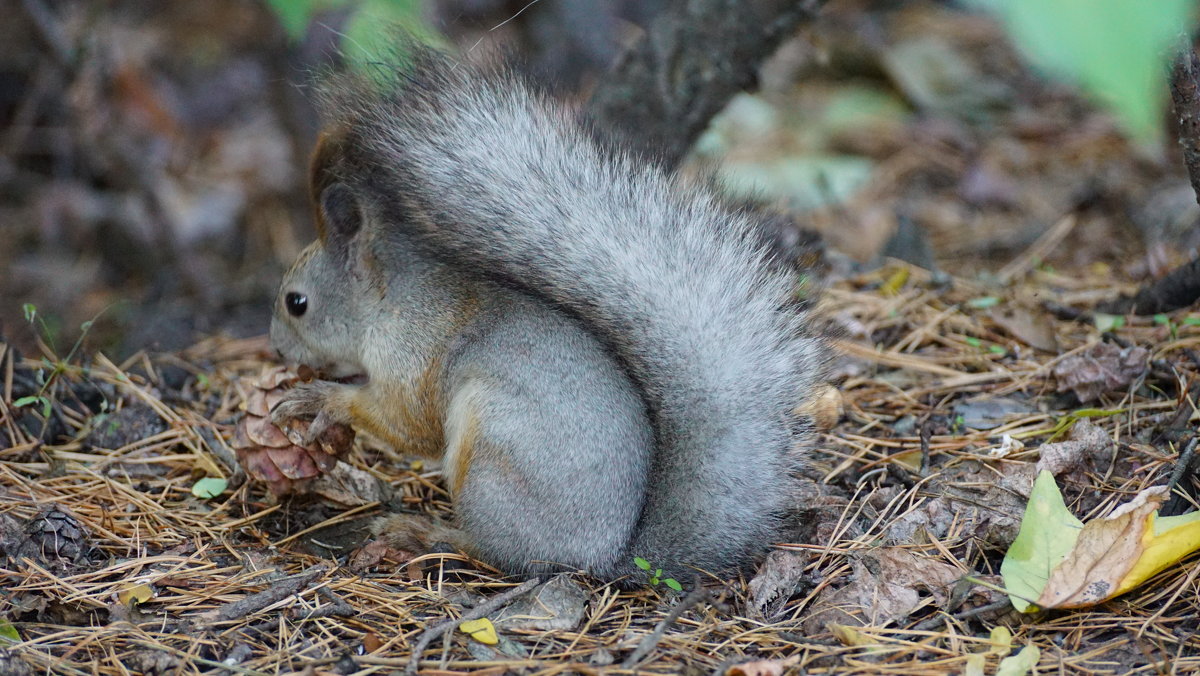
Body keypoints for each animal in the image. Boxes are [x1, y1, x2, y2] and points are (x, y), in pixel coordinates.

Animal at [266, 47, 825, 581]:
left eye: (297, 303)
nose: (276, 347)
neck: (390, 300)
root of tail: (603, 555)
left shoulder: (413, 352)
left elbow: (410, 425)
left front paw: (321, 401)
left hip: (494, 452)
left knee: (498, 551)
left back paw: (425, 532)